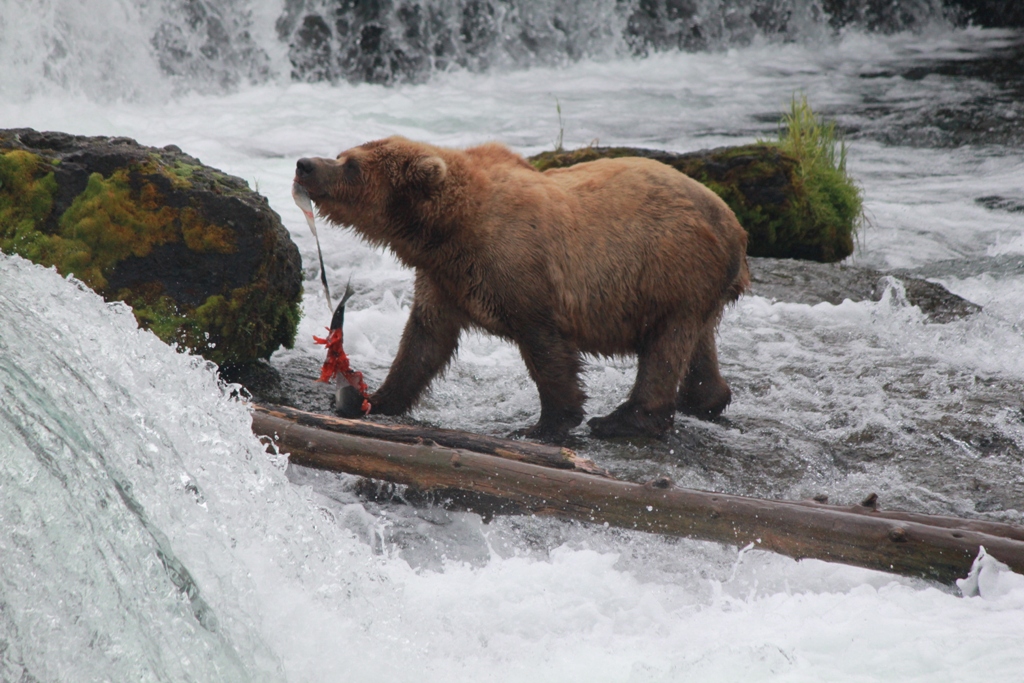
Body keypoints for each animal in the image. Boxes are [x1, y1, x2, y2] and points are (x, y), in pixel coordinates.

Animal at [292, 137, 749, 444]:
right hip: (694, 286)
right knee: (697, 341)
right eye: (342, 154)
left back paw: (622, 420)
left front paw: (547, 422)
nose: (304, 164)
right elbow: (423, 341)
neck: (447, 230)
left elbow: (545, 346)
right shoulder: (443, 280)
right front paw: (373, 399)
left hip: (669, 266)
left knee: (664, 347)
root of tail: (735, 224)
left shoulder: (520, 271)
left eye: (351, 165)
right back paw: (704, 399)